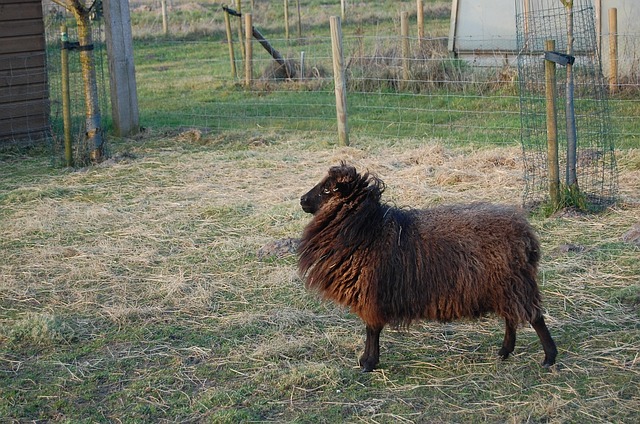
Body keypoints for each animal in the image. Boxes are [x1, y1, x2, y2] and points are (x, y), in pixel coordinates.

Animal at [298, 162, 557, 372]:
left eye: (328, 189)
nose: (302, 200)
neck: (367, 230)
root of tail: (525, 233)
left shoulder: (371, 295)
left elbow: (372, 330)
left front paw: (368, 363)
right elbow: (372, 330)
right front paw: (367, 361)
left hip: (513, 283)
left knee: (535, 317)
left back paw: (549, 358)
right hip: (503, 287)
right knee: (511, 318)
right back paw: (504, 352)